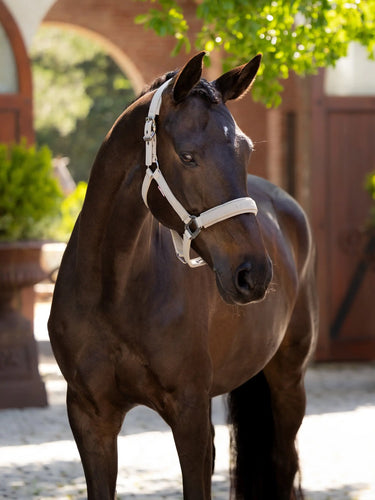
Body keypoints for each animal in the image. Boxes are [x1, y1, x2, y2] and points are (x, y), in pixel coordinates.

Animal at [49, 51, 320, 500]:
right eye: (188, 156)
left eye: (245, 150)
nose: (254, 274)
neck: (113, 291)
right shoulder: (90, 419)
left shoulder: (191, 416)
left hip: (288, 379)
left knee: (284, 464)